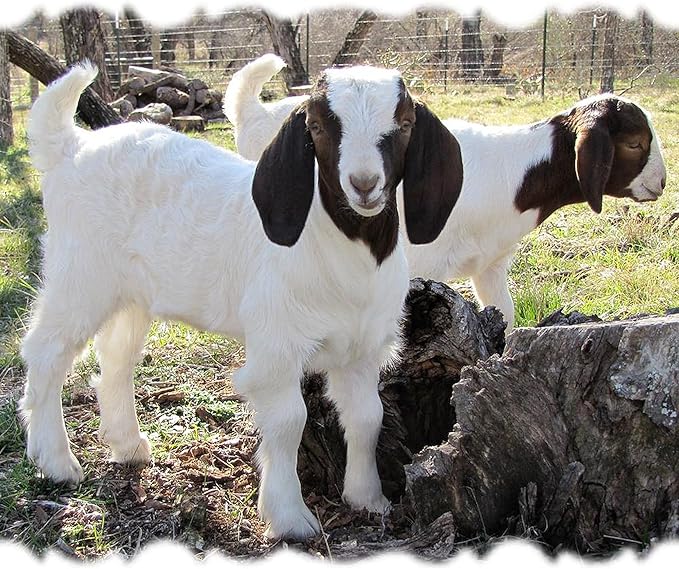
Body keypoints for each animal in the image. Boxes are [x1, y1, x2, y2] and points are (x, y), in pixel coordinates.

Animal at [20, 62, 463, 540]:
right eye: (318, 127)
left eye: (405, 124)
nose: (364, 185)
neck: (343, 244)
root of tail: (70, 147)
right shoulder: (277, 344)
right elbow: (288, 421)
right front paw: (290, 517)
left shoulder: (361, 348)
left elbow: (367, 417)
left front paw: (368, 498)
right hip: (80, 275)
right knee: (47, 352)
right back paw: (56, 462)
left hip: (132, 292)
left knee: (116, 357)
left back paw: (128, 444)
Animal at [224, 54, 668, 331]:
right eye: (635, 143)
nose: (662, 183)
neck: (514, 172)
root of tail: (254, 115)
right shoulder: (421, 262)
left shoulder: (490, 267)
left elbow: (505, 318)